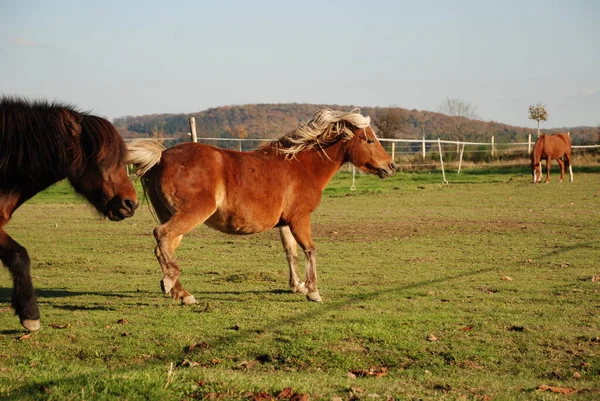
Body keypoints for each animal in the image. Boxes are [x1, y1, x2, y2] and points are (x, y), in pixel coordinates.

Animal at [129, 108, 396, 304]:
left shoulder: (286, 223)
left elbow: (291, 252)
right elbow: (310, 250)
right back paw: (172, 282)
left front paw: (297, 286)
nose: (391, 166)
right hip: (191, 214)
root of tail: (162, 157)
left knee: (162, 247)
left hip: (173, 216)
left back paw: (179, 292)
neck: (300, 165)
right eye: (369, 140)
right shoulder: (300, 218)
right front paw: (313, 292)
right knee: (161, 235)